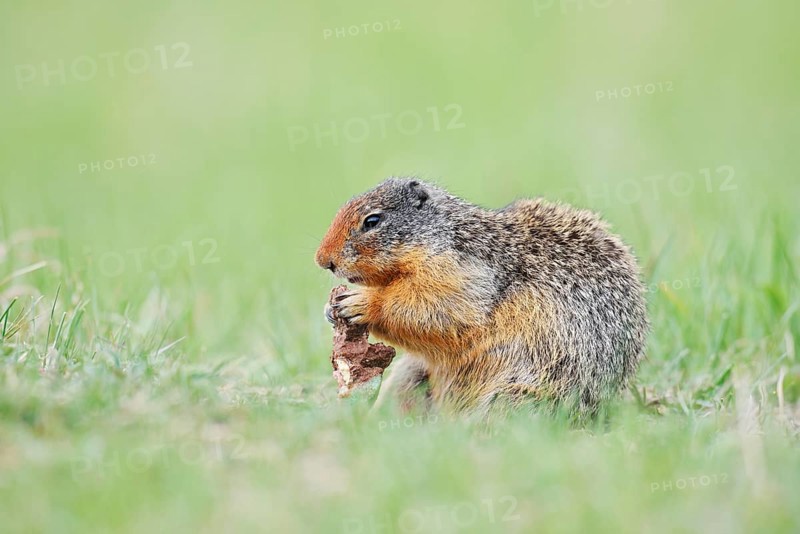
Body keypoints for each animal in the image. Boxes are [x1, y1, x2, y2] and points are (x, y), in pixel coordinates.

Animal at [315, 178, 649, 417]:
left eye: (372, 221)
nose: (322, 260)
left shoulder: (460, 275)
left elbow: (436, 309)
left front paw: (361, 302)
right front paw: (330, 308)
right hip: (410, 373)